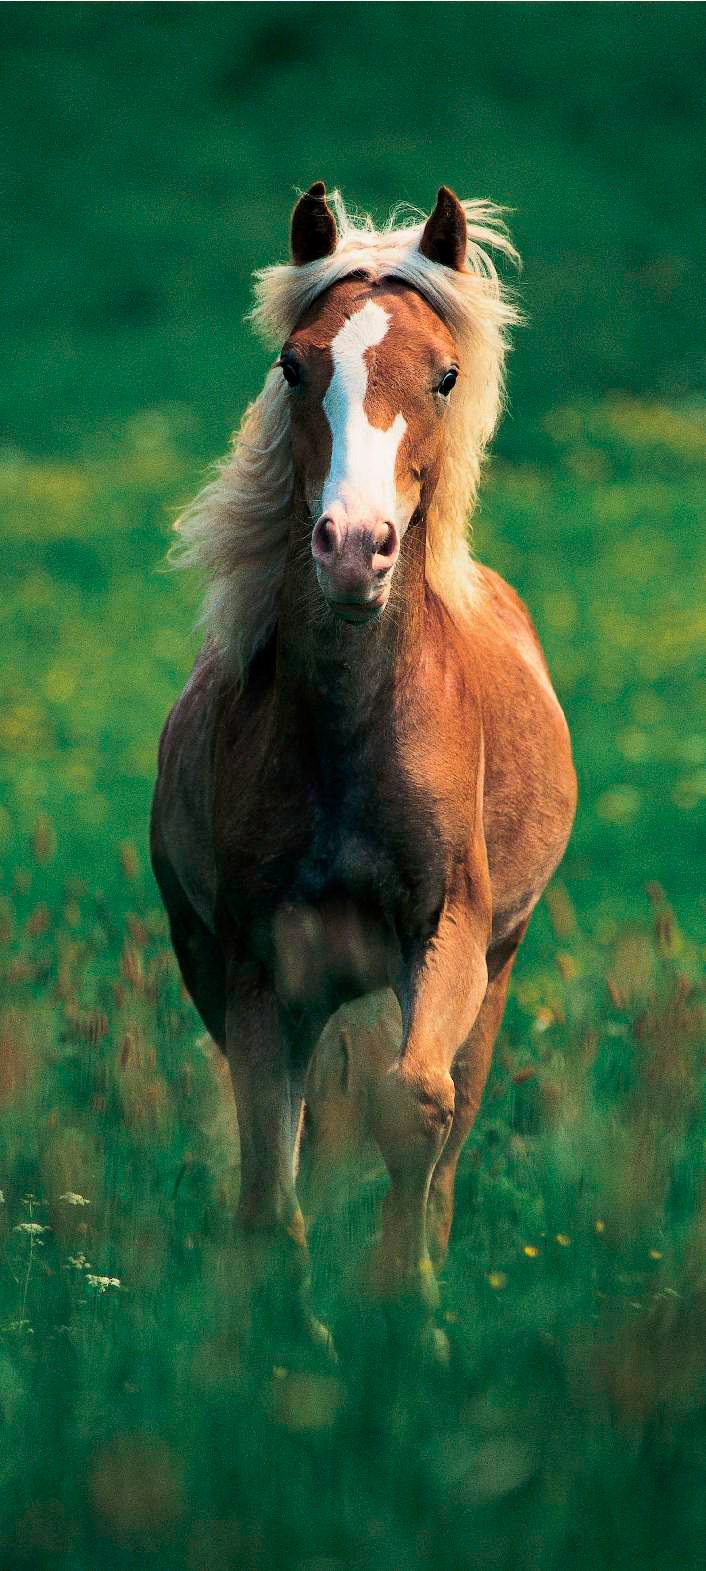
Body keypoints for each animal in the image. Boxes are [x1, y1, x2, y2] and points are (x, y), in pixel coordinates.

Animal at [150, 175, 575, 1351]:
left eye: (445, 374)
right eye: (294, 365)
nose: (352, 548)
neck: (348, 731)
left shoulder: (450, 931)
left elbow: (414, 1106)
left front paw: (410, 1314)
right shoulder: (252, 965)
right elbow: (269, 1161)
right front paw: (294, 1335)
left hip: (496, 970)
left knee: (453, 1123)